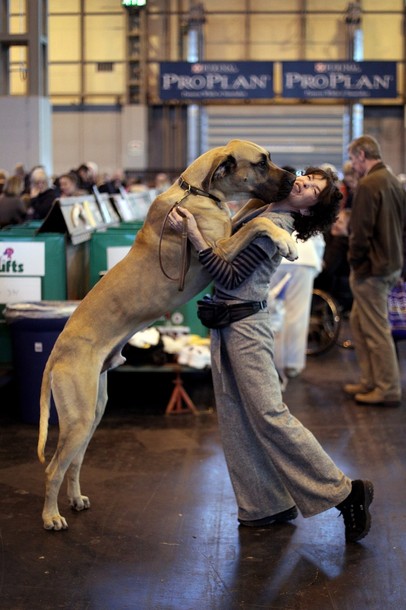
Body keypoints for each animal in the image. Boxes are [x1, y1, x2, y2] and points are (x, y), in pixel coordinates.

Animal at [38, 138, 296, 528]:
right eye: (262, 162)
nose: (295, 176)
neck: (199, 190)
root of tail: (55, 352)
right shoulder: (219, 250)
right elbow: (260, 223)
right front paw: (283, 237)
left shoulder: (226, 231)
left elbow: (249, 216)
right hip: (78, 416)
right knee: (53, 468)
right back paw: (51, 516)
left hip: (92, 411)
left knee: (75, 461)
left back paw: (75, 499)